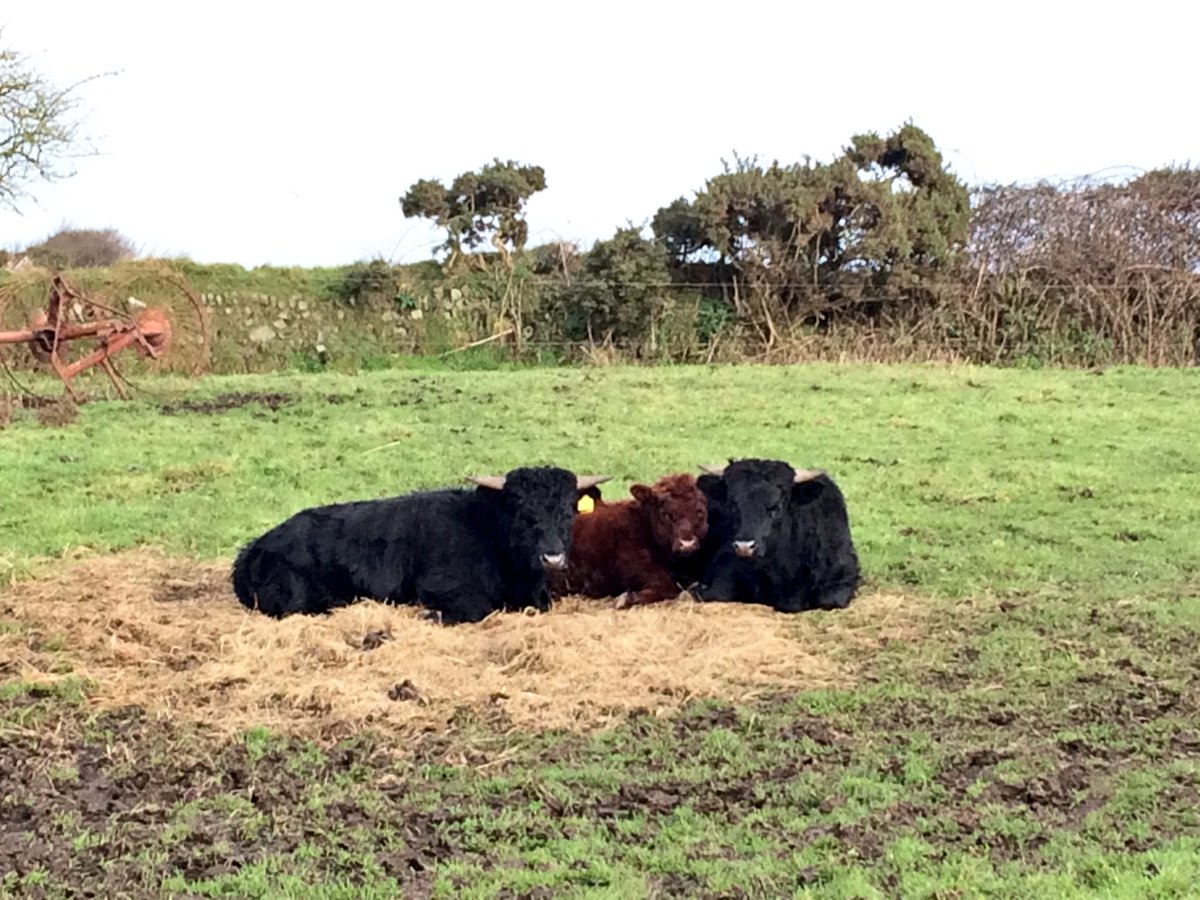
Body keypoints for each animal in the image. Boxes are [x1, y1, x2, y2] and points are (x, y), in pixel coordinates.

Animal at [230, 466, 611, 624]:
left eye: (568, 511)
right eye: (521, 511)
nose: (552, 557)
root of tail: (254, 548)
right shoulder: (442, 588)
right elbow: (476, 609)